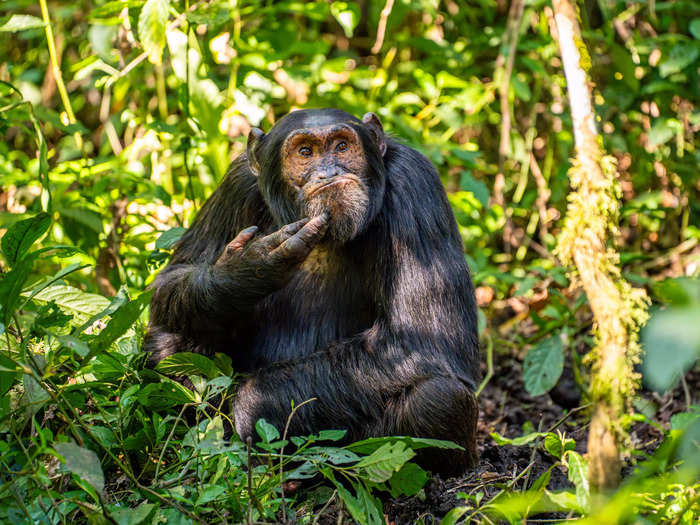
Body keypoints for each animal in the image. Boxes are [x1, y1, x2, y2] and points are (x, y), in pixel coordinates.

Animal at [144, 108, 482, 472]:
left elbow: (422, 338)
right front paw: (245, 270)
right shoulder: (236, 183)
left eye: (341, 146)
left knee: (438, 398)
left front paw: (252, 406)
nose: (329, 171)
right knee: (169, 341)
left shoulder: (415, 183)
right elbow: (172, 278)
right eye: (305, 152)